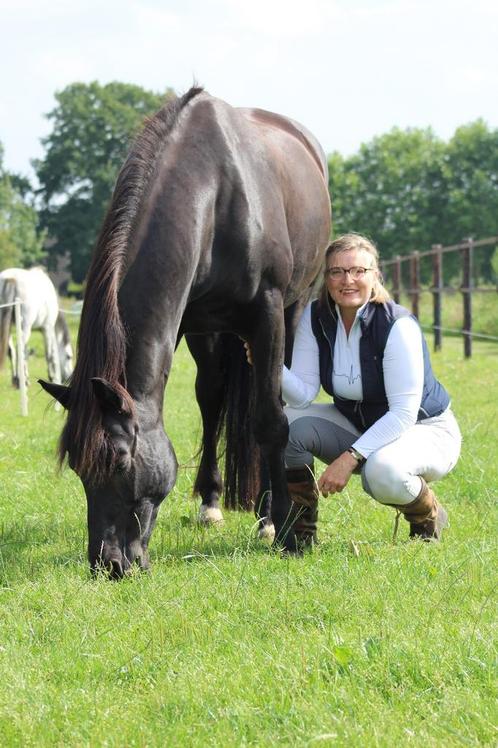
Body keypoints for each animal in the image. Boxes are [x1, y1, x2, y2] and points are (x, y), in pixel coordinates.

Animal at [40, 89, 330, 580]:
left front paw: (285, 528)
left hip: (293, 309)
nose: (108, 564)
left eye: (120, 459)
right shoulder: (179, 324)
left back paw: (266, 514)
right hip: (209, 335)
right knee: (212, 400)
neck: (217, 198)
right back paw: (212, 503)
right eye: (78, 468)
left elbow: (270, 421)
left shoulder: (268, 313)